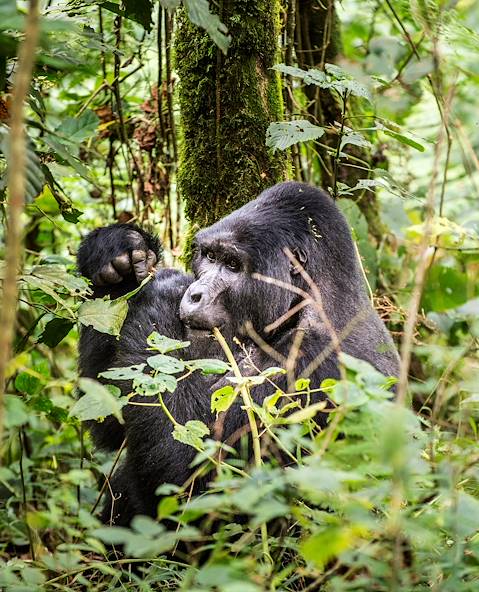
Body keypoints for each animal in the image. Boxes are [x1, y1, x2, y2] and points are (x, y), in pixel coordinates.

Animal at [78, 180, 402, 524]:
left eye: (233, 265)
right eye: (209, 256)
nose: (194, 294)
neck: (315, 297)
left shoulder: (318, 363)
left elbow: (191, 482)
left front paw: (164, 291)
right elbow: (113, 418)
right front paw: (114, 254)